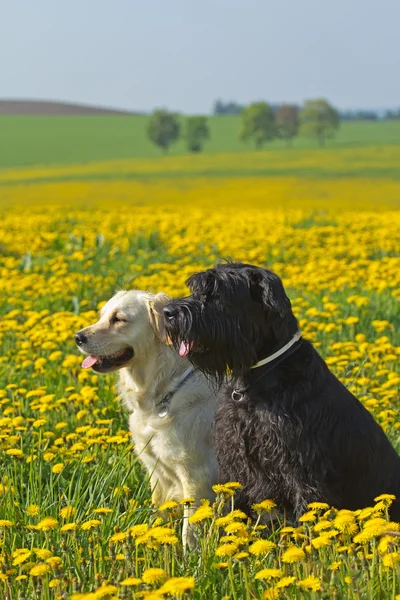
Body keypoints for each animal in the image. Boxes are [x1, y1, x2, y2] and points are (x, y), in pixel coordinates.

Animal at [162, 262, 400, 520]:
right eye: (196, 289)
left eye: (216, 293)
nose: (167, 312)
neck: (255, 380)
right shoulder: (234, 458)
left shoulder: (301, 467)